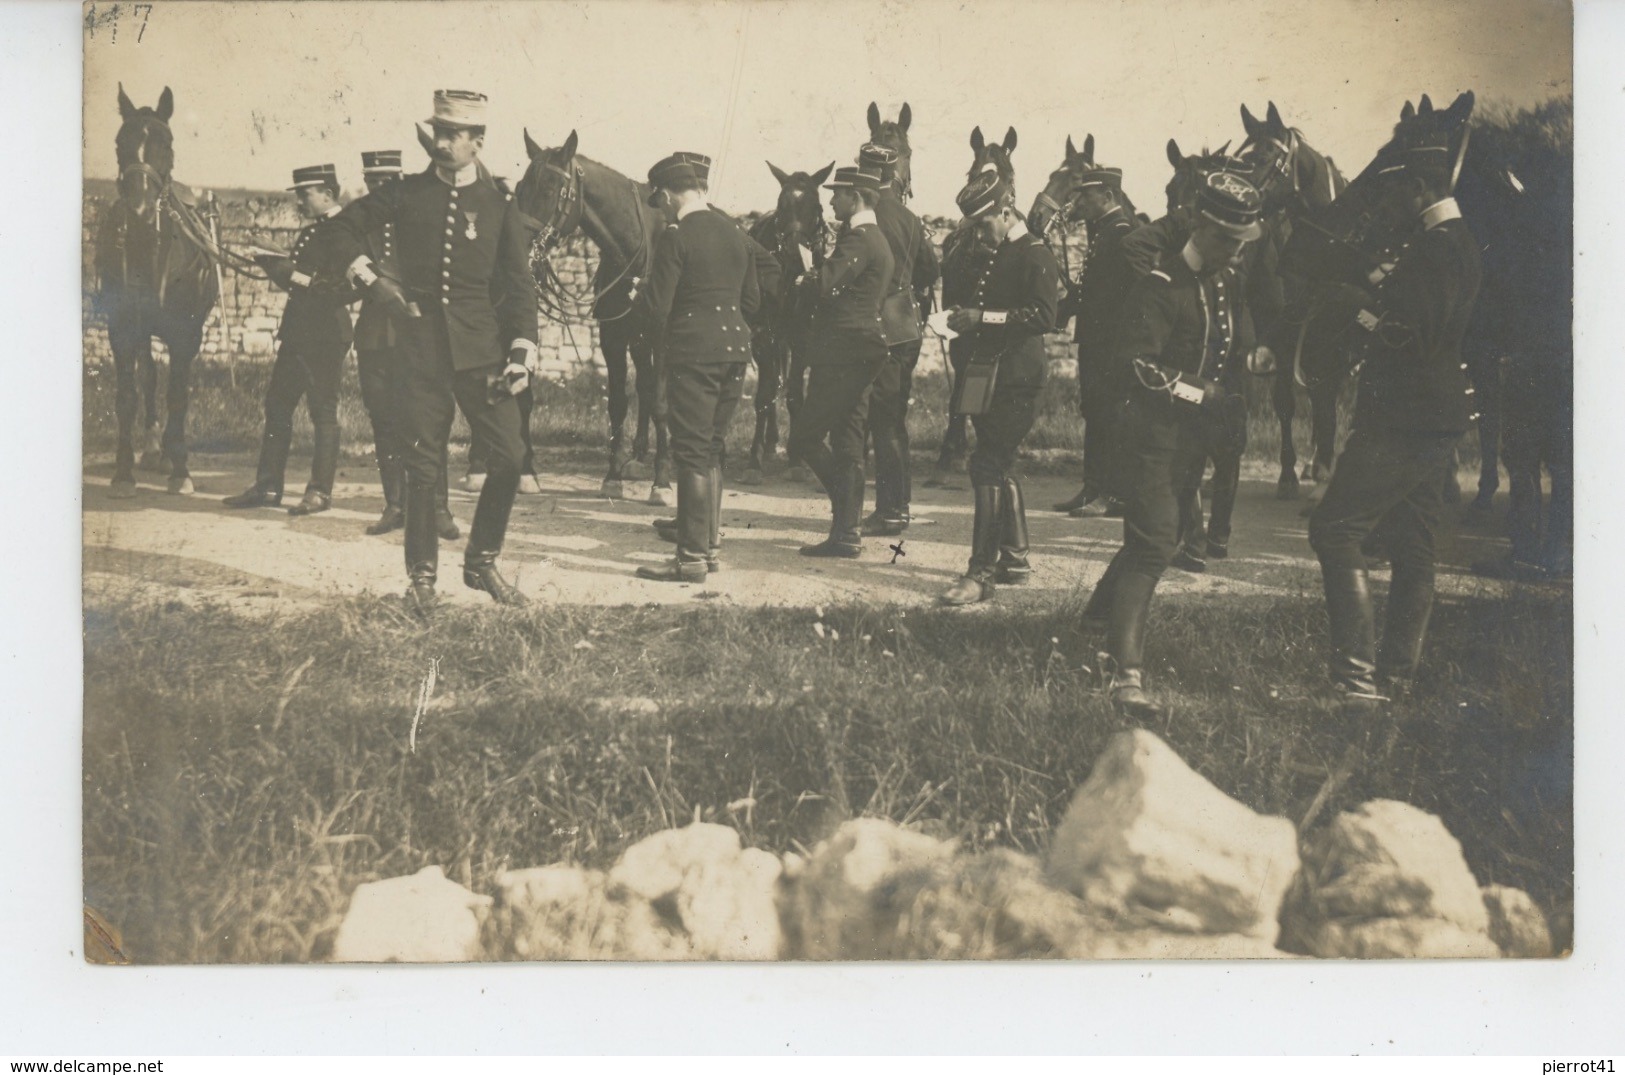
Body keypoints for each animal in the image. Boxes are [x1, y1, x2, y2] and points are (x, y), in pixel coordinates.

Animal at [92, 86, 217, 500]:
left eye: (168, 143)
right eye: (120, 143)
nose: (141, 211)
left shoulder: (187, 333)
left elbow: (178, 396)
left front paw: (181, 471)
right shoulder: (122, 329)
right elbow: (128, 396)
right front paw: (123, 473)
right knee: (148, 377)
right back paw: (150, 449)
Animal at [520, 130, 672, 506]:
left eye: (549, 188)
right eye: (518, 188)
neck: (638, 249)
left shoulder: (663, 337)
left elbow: (663, 404)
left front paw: (662, 482)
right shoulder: (614, 337)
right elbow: (618, 402)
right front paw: (613, 475)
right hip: (639, 341)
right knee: (645, 387)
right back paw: (638, 456)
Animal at [744, 160, 832, 483]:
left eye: (817, 206)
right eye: (782, 205)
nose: (796, 250)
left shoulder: (802, 338)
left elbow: (794, 395)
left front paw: (796, 458)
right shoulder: (763, 337)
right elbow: (765, 394)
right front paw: (754, 460)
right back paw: (769, 444)